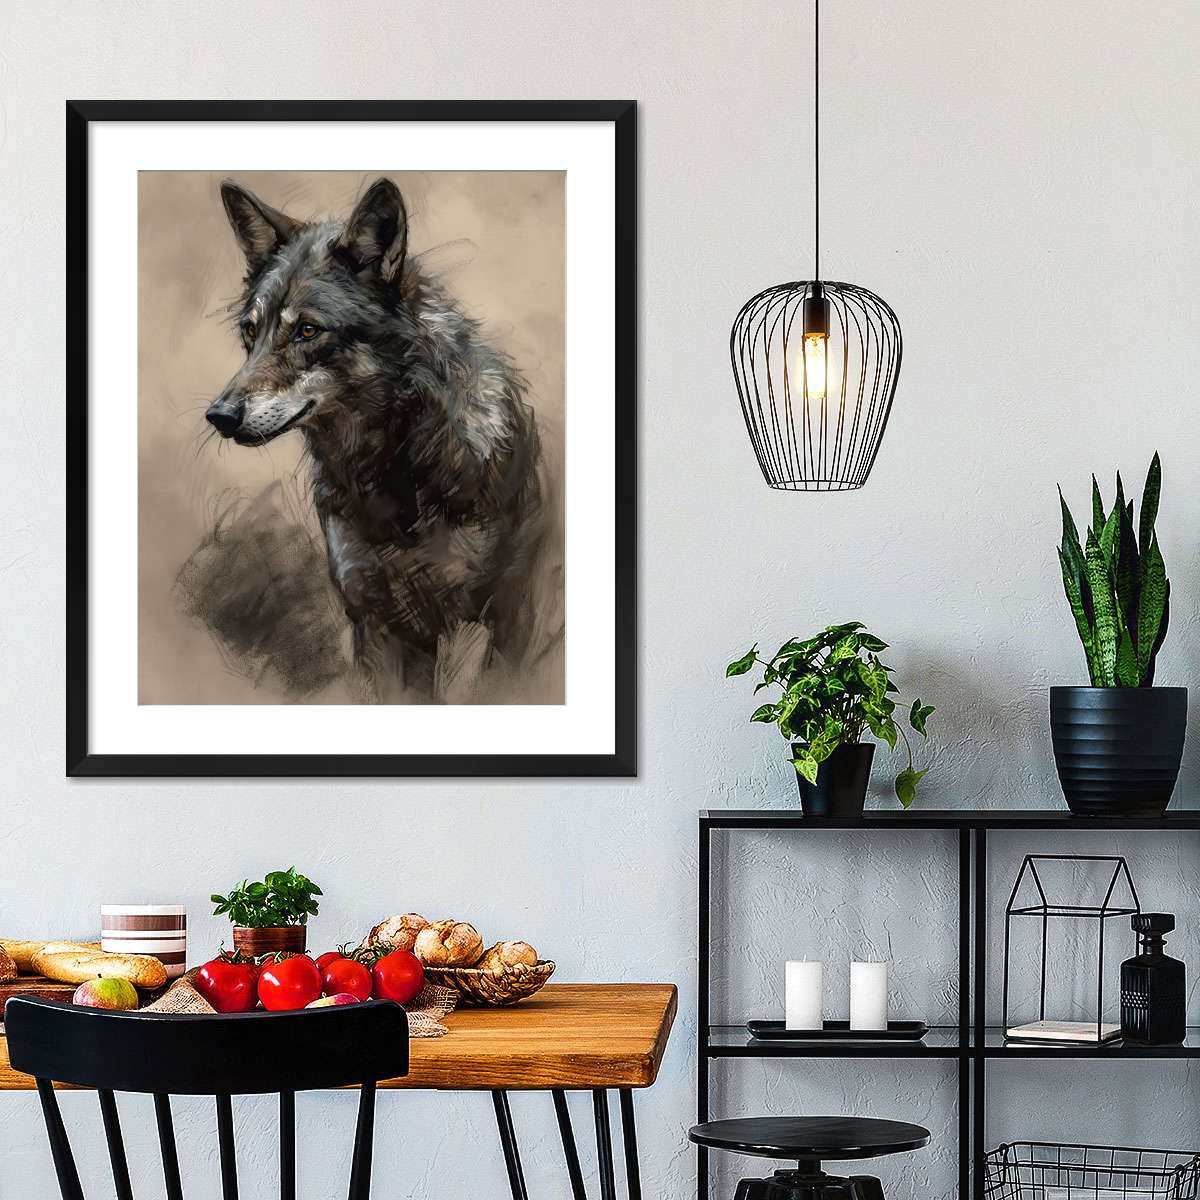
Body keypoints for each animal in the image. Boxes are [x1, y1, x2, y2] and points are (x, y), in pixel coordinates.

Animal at [204, 177, 556, 702]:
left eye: (307, 330)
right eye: (251, 332)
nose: (219, 417)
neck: (398, 469)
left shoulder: (503, 616)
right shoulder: (380, 623)